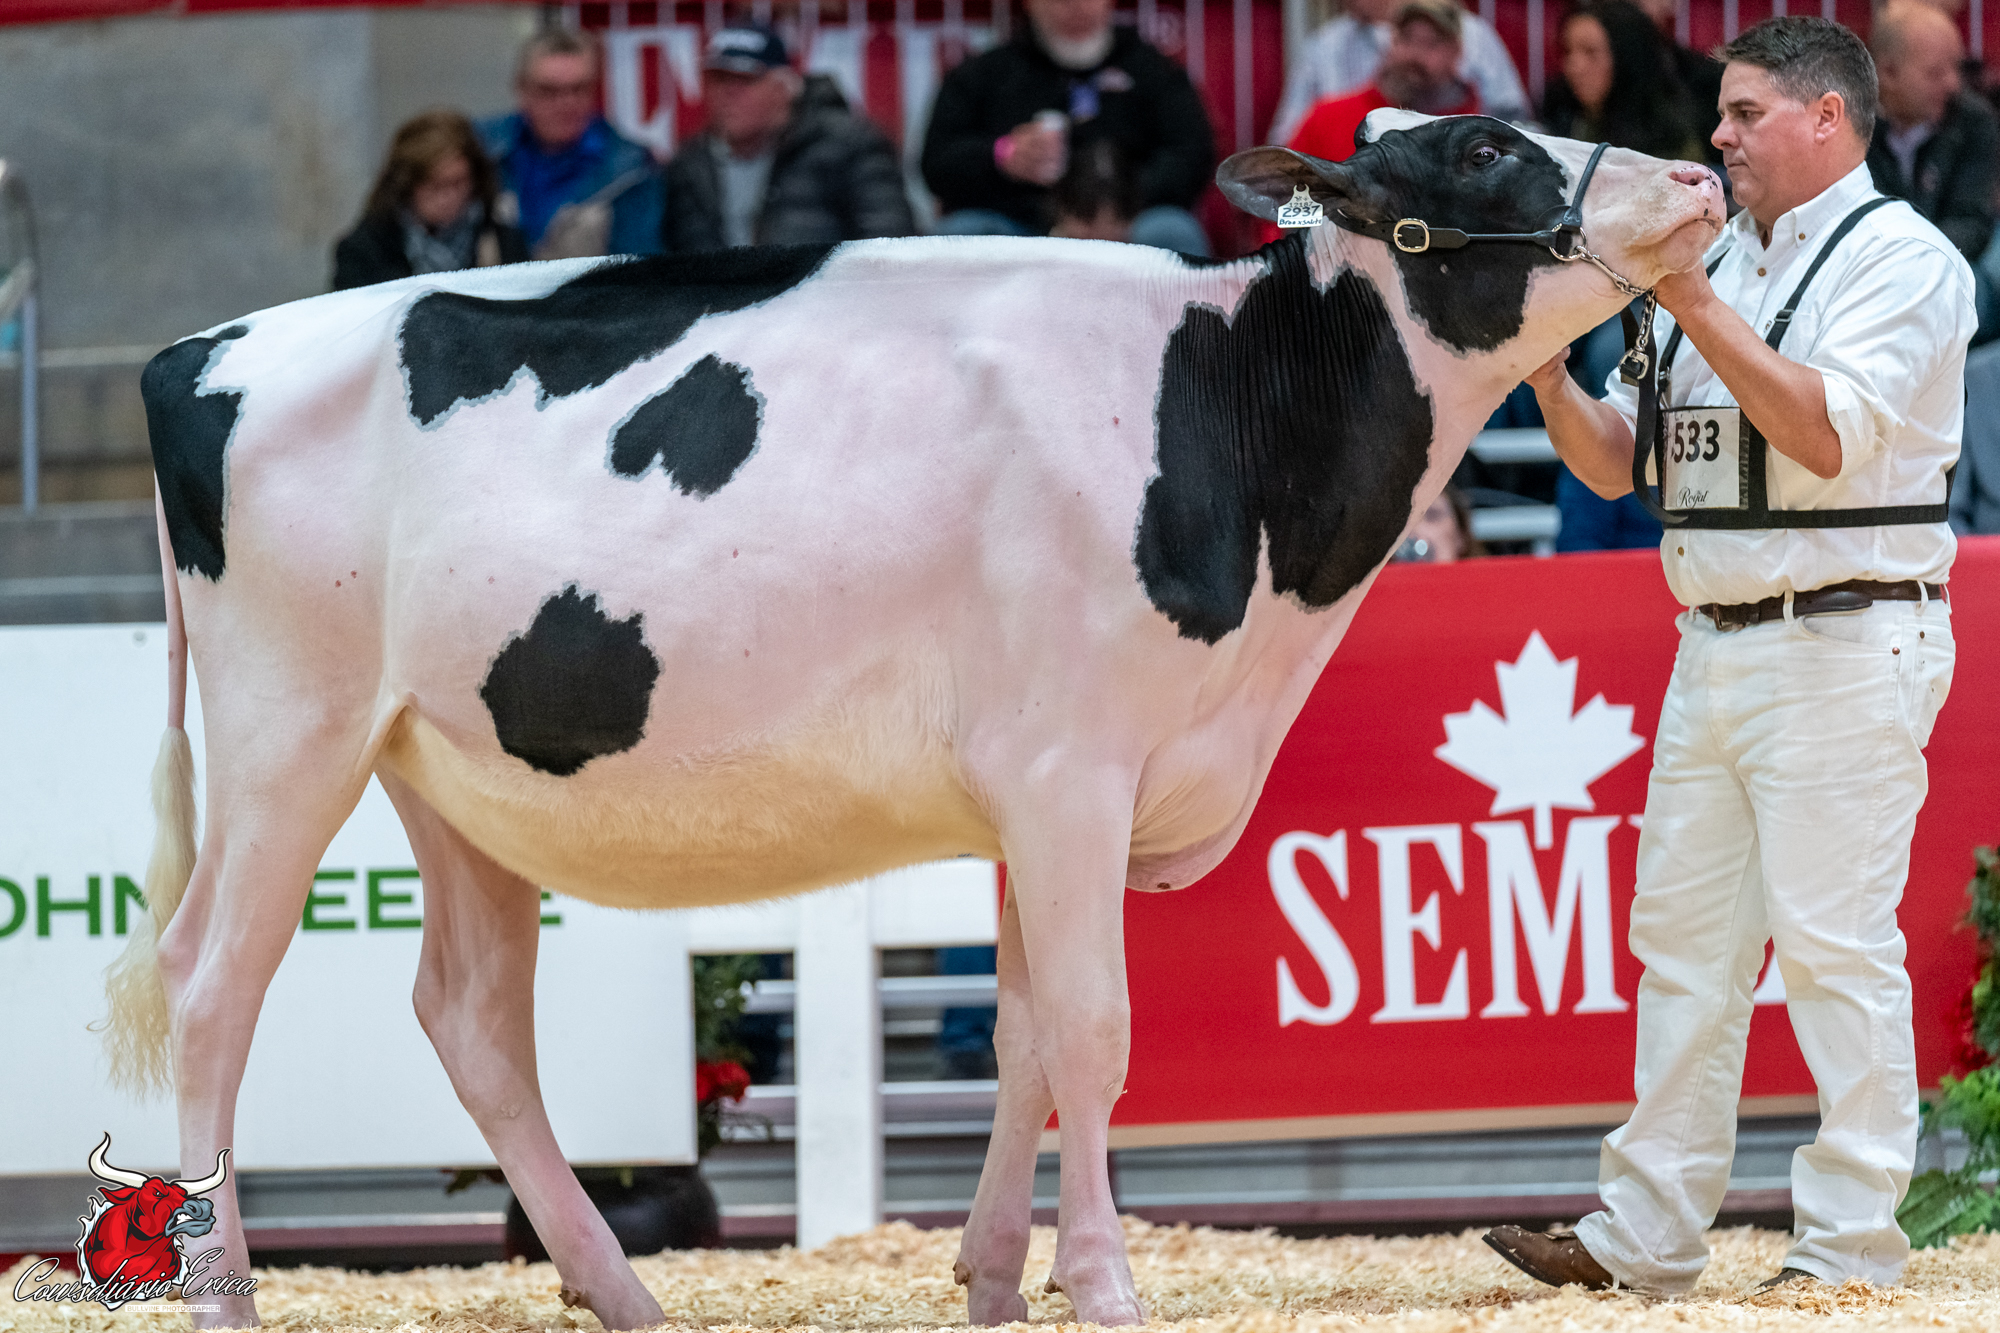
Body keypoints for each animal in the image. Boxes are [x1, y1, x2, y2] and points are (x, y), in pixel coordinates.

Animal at [104, 112, 1721, 1329]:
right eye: (1485, 150)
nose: (1702, 176)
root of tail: (194, 350)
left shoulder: (1032, 790)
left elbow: (1022, 1038)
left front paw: (998, 1276)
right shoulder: (1072, 772)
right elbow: (1093, 1030)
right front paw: (1104, 1281)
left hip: (439, 767)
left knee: (474, 1017)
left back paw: (618, 1289)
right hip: (290, 737)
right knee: (209, 984)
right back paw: (224, 1290)